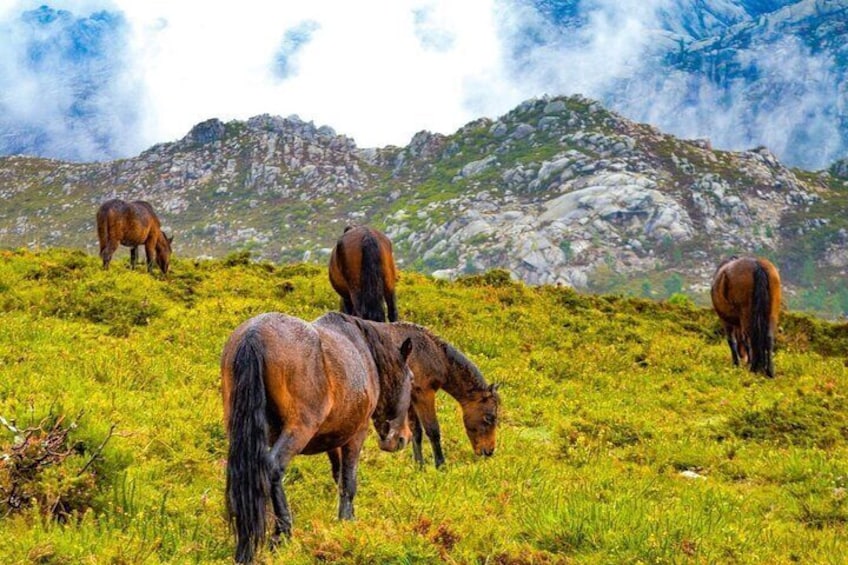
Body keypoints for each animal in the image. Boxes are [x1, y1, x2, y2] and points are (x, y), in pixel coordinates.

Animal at [222, 310, 414, 560]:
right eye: (411, 379)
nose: (402, 438)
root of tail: (254, 334)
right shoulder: (356, 434)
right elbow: (349, 480)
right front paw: (347, 521)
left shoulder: (333, 439)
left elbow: (338, 476)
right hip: (299, 428)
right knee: (272, 467)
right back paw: (283, 532)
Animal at [382, 320, 500, 470]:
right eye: (489, 417)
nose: (489, 451)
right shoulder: (424, 394)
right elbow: (433, 430)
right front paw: (441, 465)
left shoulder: (412, 398)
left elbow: (416, 431)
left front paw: (419, 466)